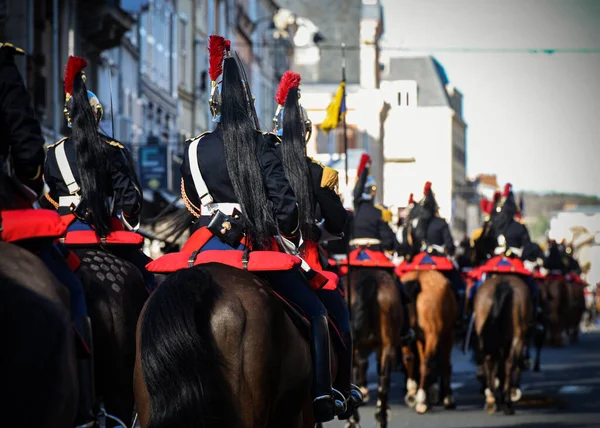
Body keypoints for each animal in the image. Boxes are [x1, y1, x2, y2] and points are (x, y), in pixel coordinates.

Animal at [400, 270, 458, 414]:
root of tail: (418, 278)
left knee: (409, 358)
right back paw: (421, 400)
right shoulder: (448, 334)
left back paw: (412, 394)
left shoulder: (420, 338)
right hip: (434, 334)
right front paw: (447, 398)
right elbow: (445, 364)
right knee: (427, 362)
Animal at [474, 274, 528, 414]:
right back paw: (508, 403)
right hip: (517, 337)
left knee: (489, 361)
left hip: (482, 333)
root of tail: (503, 283)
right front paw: (510, 393)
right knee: (509, 363)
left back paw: (491, 401)